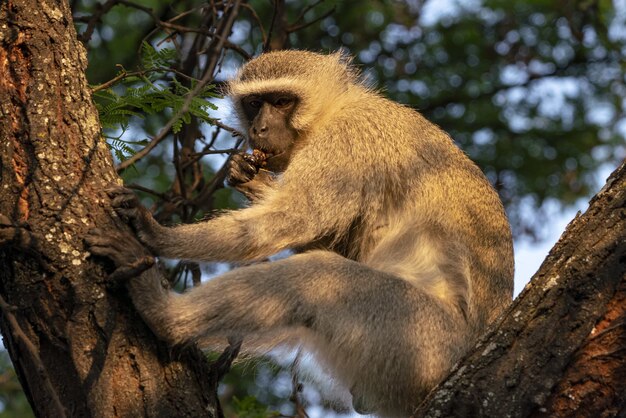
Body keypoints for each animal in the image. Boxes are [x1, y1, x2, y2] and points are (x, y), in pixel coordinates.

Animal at [86, 49, 512, 418]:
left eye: (282, 101)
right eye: (255, 104)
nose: (259, 128)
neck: (336, 109)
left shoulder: (346, 140)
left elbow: (294, 218)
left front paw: (156, 233)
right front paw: (251, 179)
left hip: (421, 341)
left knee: (319, 276)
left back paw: (164, 314)